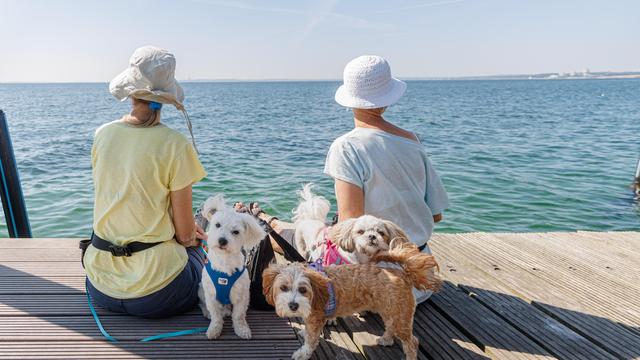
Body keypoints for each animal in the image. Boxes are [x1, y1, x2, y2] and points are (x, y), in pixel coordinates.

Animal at [196, 195, 264, 338]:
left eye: (236, 232)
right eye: (217, 225)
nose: (222, 240)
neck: (224, 262)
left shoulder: (242, 295)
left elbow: (238, 316)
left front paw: (242, 329)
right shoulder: (211, 295)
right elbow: (216, 316)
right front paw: (214, 329)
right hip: (201, 290)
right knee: (202, 304)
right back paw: (208, 312)